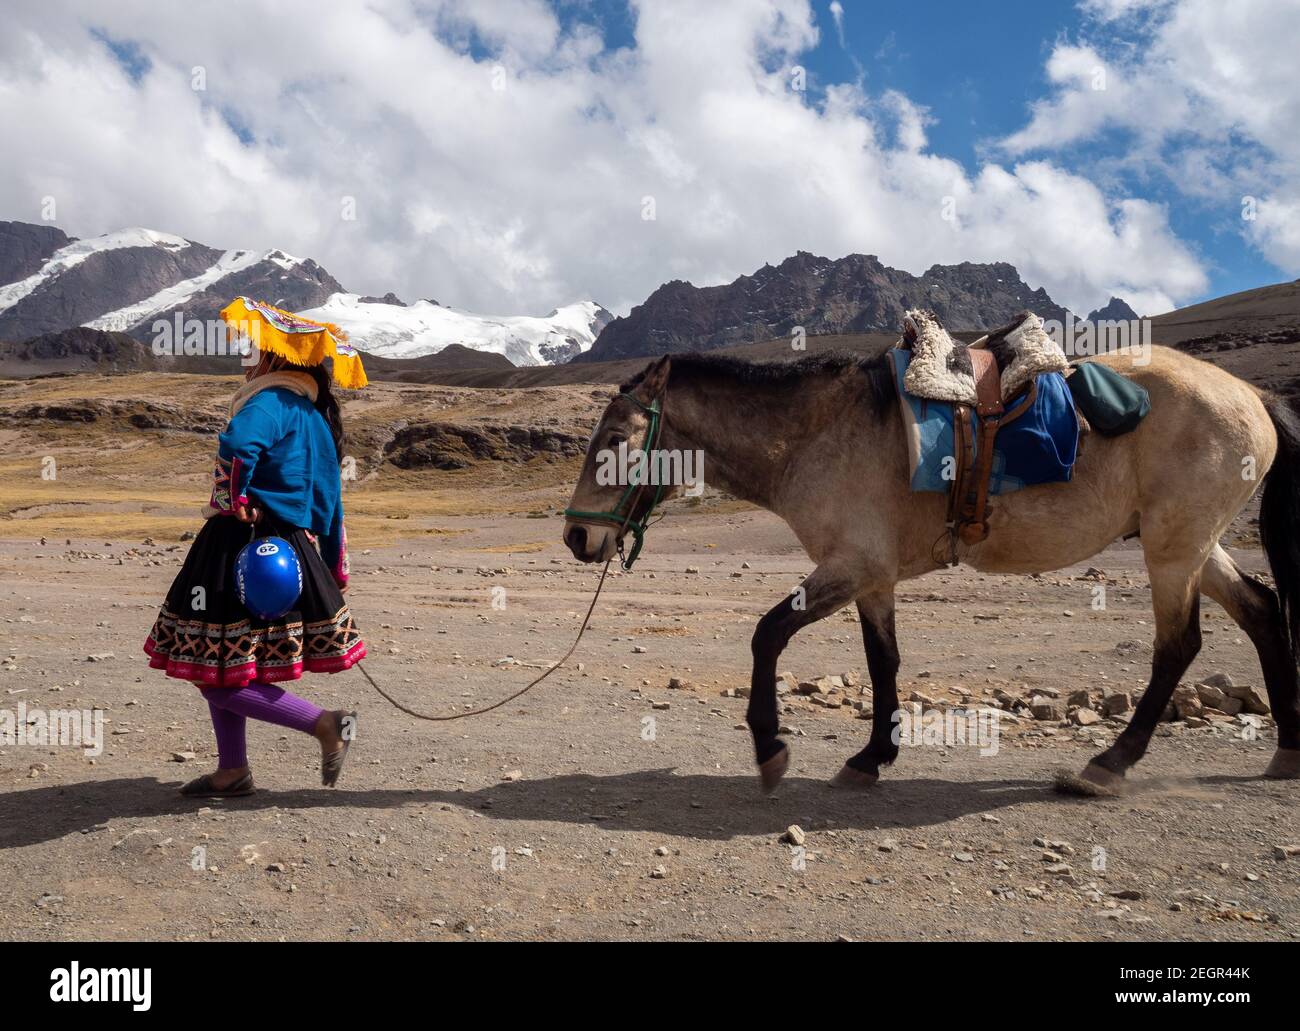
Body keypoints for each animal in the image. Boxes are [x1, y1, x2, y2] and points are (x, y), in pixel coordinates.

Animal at [561, 336, 1300, 797]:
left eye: (617, 437)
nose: (575, 536)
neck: (817, 434)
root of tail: (1254, 395)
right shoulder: (872, 576)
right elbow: (882, 659)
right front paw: (870, 757)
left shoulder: (849, 565)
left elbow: (768, 634)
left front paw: (771, 750)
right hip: (1193, 544)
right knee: (1262, 610)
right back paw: (1285, 752)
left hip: (1172, 549)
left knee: (1179, 644)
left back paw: (1107, 764)